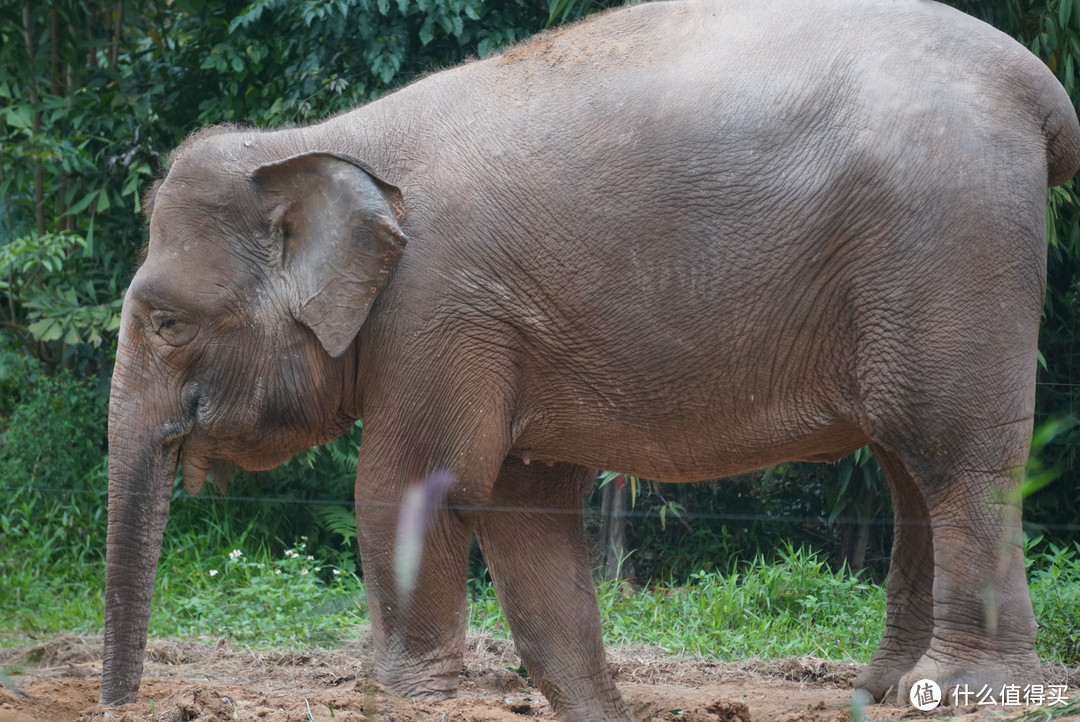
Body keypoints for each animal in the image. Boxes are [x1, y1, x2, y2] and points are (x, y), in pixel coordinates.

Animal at [97, 0, 1075, 716]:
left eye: (165, 323)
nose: (120, 705)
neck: (319, 140)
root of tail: (1037, 86)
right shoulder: (495, 322)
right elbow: (524, 507)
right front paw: (589, 708)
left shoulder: (438, 307)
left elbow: (411, 486)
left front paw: (413, 698)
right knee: (908, 466)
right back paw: (881, 694)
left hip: (950, 246)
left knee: (953, 456)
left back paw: (958, 691)